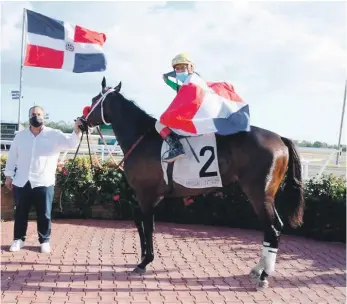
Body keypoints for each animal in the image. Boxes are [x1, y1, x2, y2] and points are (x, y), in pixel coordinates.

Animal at [83, 76, 304, 290]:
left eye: (94, 99)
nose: (82, 120)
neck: (141, 139)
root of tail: (279, 138)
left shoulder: (145, 195)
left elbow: (147, 225)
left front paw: (145, 262)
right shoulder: (151, 196)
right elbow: (143, 223)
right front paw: (144, 257)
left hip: (260, 193)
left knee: (273, 229)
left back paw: (264, 275)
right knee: (271, 228)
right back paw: (258, 269)